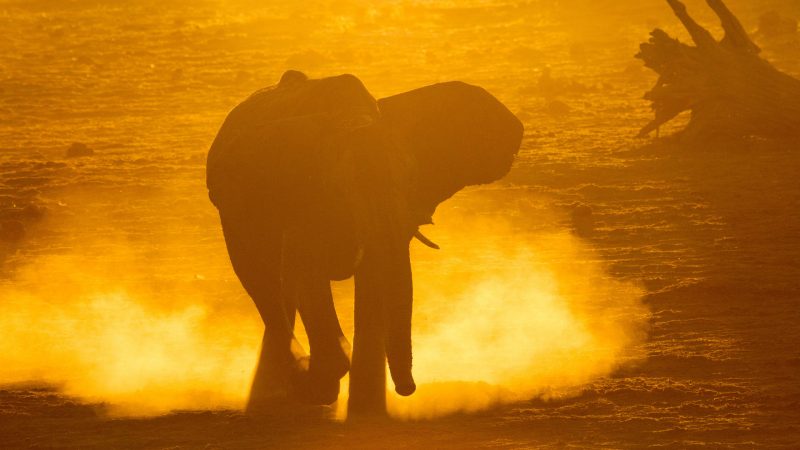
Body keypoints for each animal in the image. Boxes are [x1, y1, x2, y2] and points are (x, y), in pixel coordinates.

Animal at [206, 68, 524, 416]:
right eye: (344, 187)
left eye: (410, 179)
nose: (407, 389)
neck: (352, 119)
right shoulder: (307, 201)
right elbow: (308, 277)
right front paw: (317, 385)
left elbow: (374, 279)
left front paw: (362, 410)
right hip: (233, 212)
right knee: (263, 284)